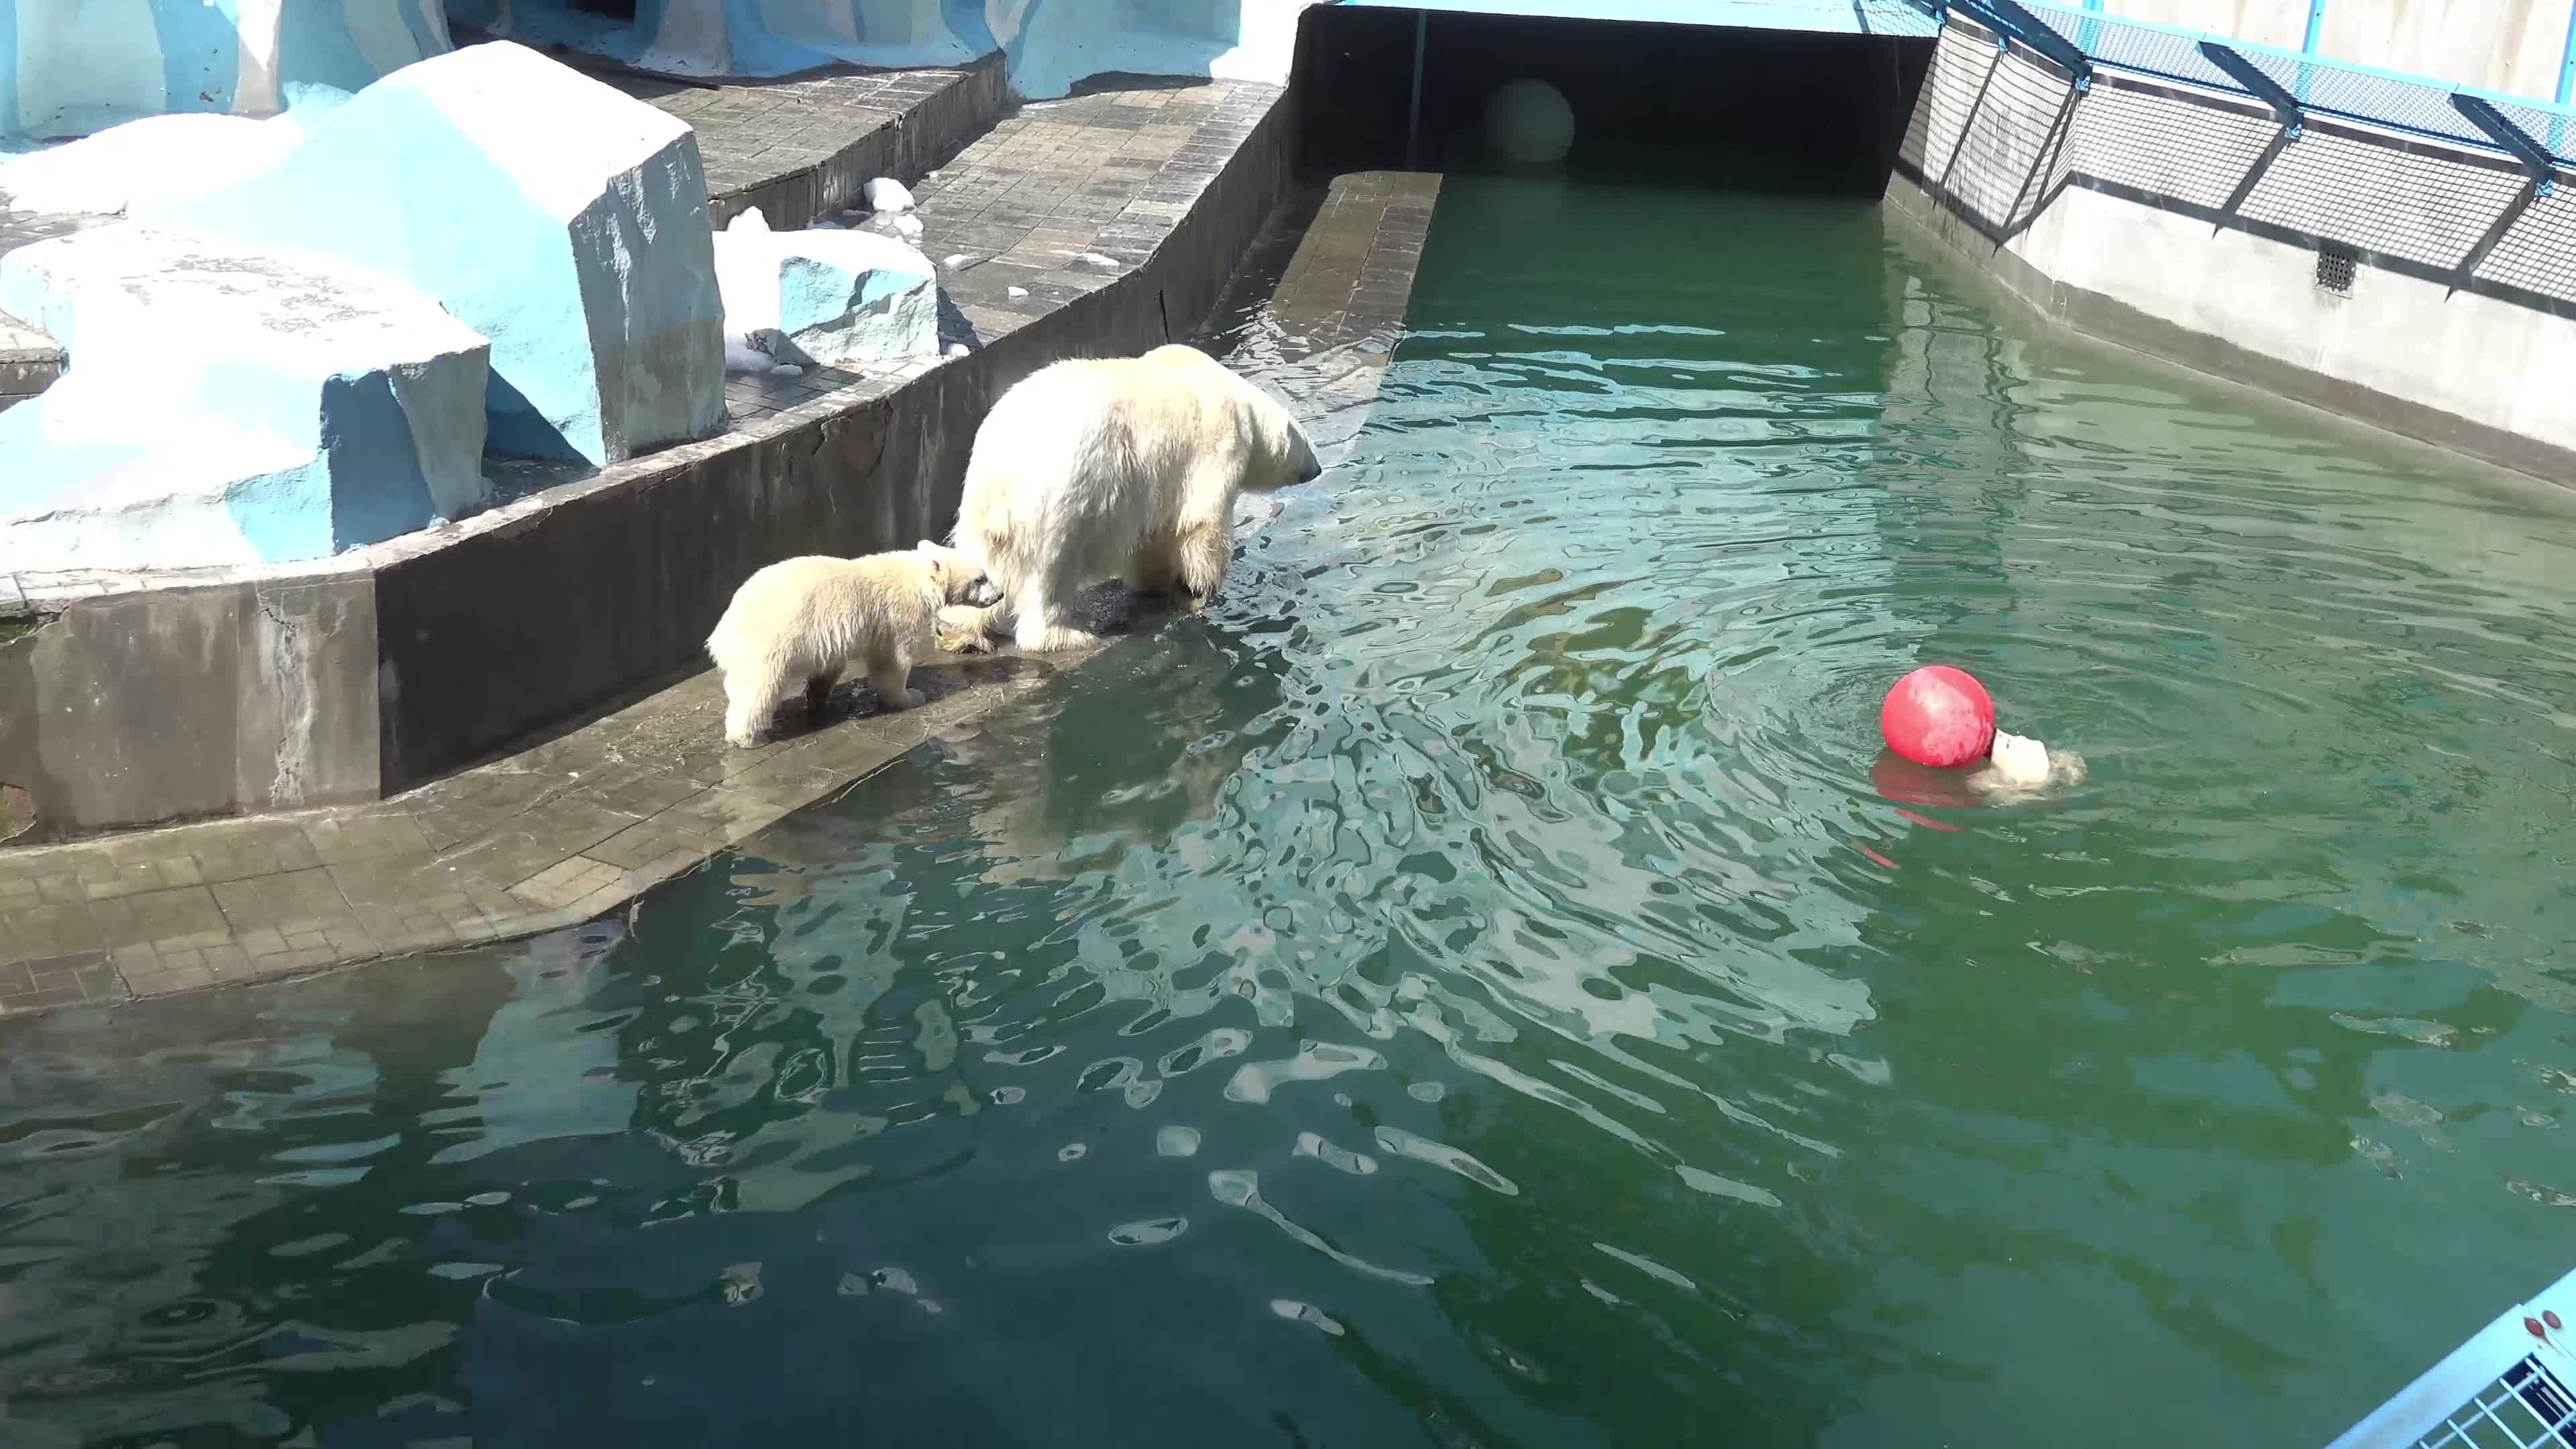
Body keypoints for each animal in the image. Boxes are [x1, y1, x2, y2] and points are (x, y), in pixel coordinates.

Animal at [943, 343, 1319, 649]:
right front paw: (1199, 590)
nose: (1316, 469)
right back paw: (1067, 635)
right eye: (1306, 443)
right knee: (1050, 573)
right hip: (1058, 502)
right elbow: (1202, 524)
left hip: (978, 510)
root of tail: (1000, 482)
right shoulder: (1214, 445)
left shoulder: (1152, 487)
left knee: (981, 566)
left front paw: (1155, 586)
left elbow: (1153, 538)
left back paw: (962, 631)